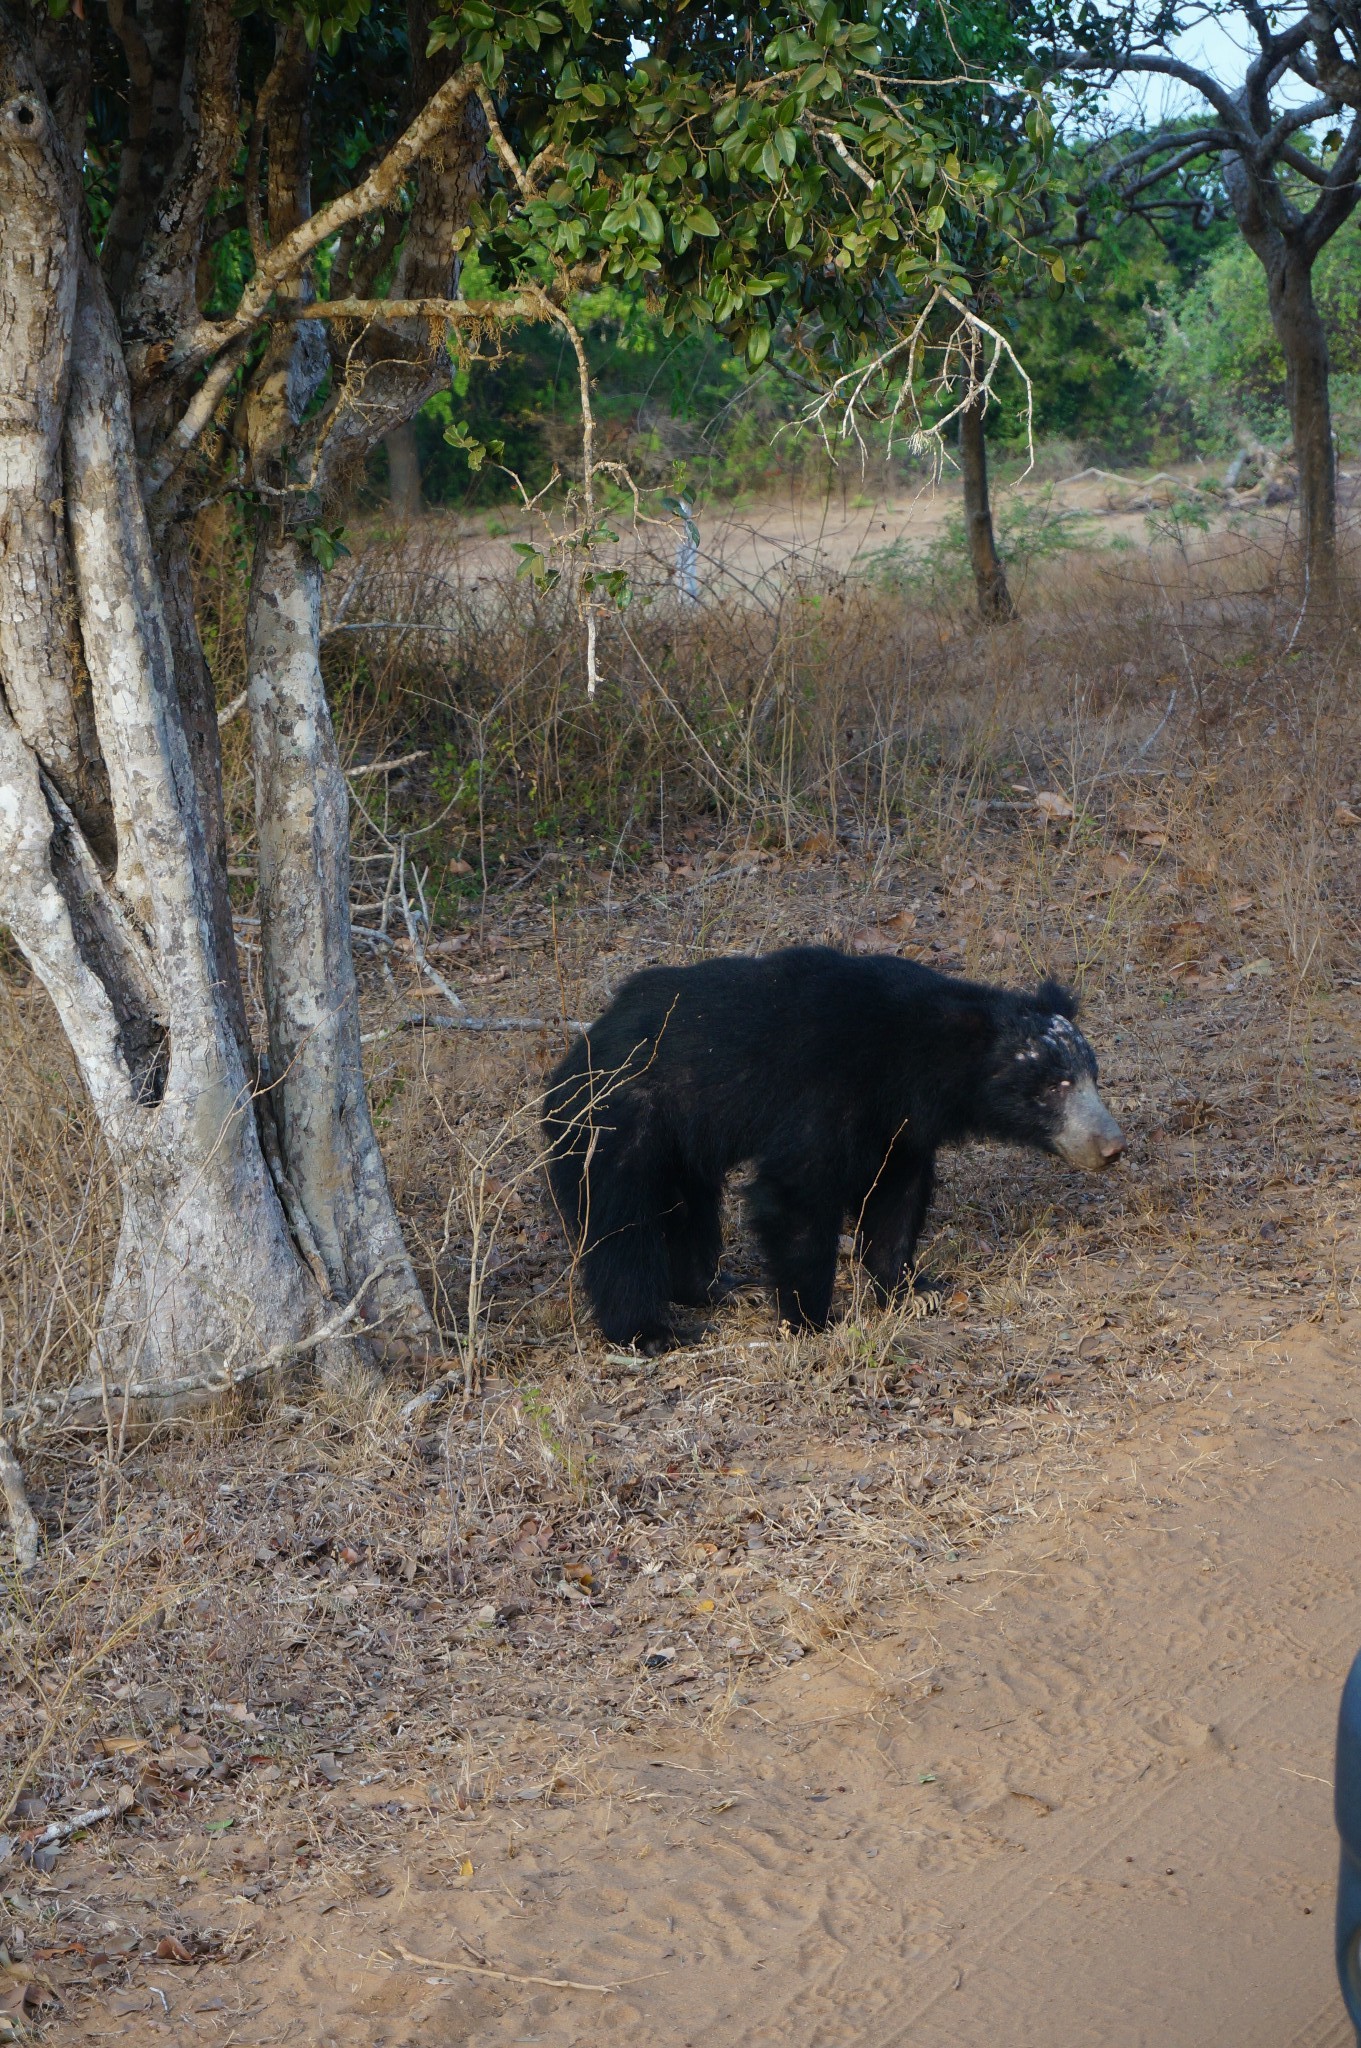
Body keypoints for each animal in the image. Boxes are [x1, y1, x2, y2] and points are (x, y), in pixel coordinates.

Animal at [544, 946, 1121, 1359]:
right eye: (1056, 1085)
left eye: (1093, 1077)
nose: (1113, 1146)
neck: (912, 1060)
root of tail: (574, 1056)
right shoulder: (822, 1091)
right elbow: (795, 1193)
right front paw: (809, 1320)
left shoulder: (899, 1127)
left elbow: (897, 1197)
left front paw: (915, 1292)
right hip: (618, 1123)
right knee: (619, 1226)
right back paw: (651, 1333)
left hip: (682, 1144)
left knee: (689, 1209)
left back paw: (722, 1287)